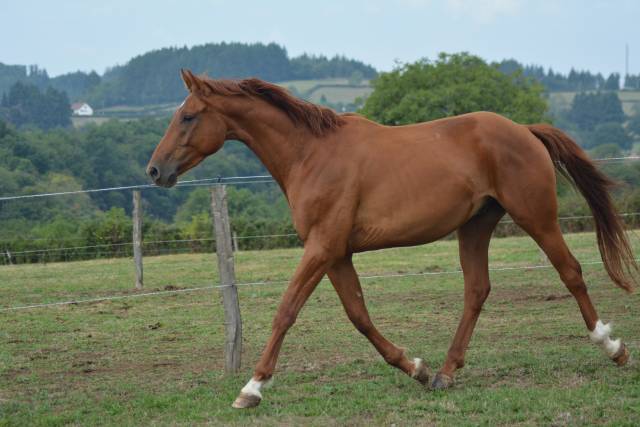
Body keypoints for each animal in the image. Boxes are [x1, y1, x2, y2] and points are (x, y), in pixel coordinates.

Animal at [147, 69, 635, 409]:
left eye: (188, 116)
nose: (155, 170)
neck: (312, 154)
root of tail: (525, 130)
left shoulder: (321, 248)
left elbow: (285, 311)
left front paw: (251, 389)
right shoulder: (337, 254)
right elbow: (359, 316)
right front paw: (415, 368)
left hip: (537, 217)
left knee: (570, 271)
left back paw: (613, 348)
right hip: (475, 227)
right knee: (477, 290)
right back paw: (444, 373)